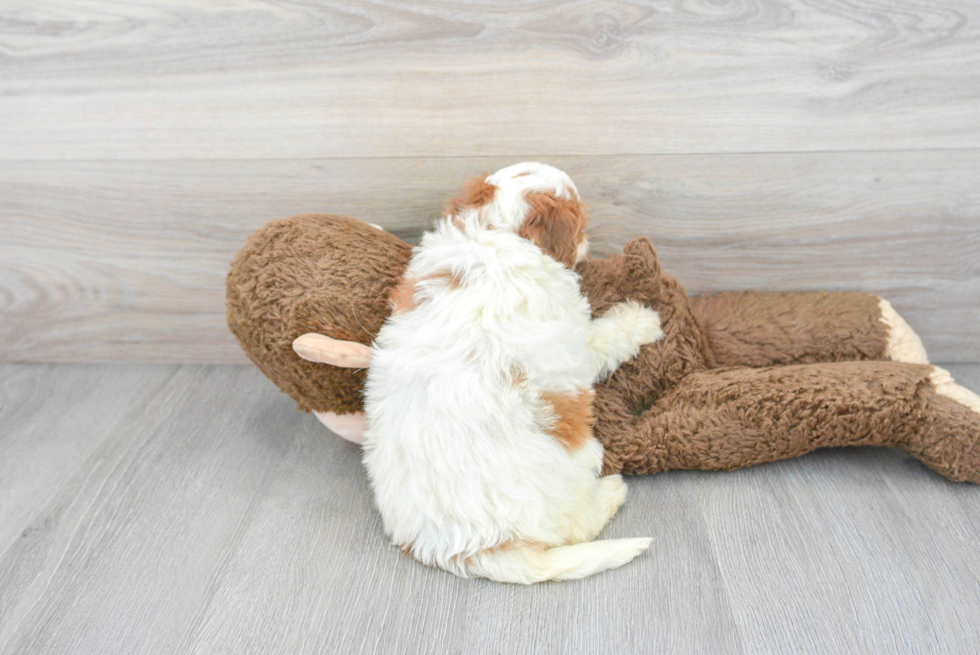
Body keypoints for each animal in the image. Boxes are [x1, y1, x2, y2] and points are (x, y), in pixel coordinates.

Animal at [364, 164, 664, 584]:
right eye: (581, 225)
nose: (588, 244)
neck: (497, 230)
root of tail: (471, 550)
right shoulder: (575, 342)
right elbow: (606, 336)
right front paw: (642, 319)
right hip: (573, 472)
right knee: (578, 526)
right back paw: (610, 492)